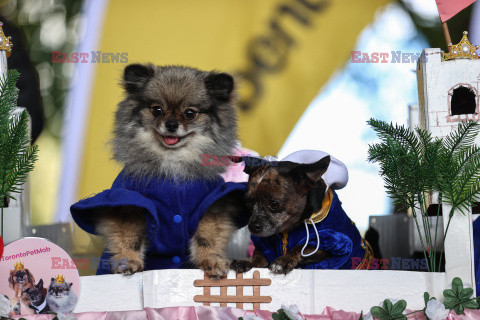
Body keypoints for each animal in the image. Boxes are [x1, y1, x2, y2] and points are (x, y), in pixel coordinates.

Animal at [74, 63, 251, 276]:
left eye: (190, 113)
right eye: (157, 110)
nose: (171, 124)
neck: (173, 162)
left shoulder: (211, 205)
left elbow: (206, 238)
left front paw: (211, 260)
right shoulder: (128, 203)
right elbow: (130, 239)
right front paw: (128, 261)